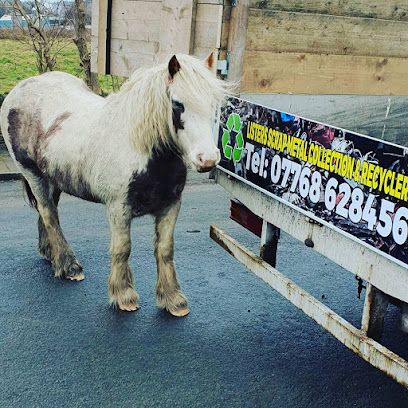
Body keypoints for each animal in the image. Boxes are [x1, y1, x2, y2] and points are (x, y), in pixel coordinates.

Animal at [0, 52, 230, 318]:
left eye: (216, 104)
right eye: (177, 104)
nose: (208, 160)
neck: (141, 147)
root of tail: (21, 88)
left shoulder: (171, 206)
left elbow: (165, 249)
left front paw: (173, 299)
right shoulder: (118, 208)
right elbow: (122, 249)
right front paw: (124, 296)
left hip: (53, 178)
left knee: (47, 212)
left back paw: (51, 254)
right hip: (33, 174)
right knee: (49, 215)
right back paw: (68, 266)